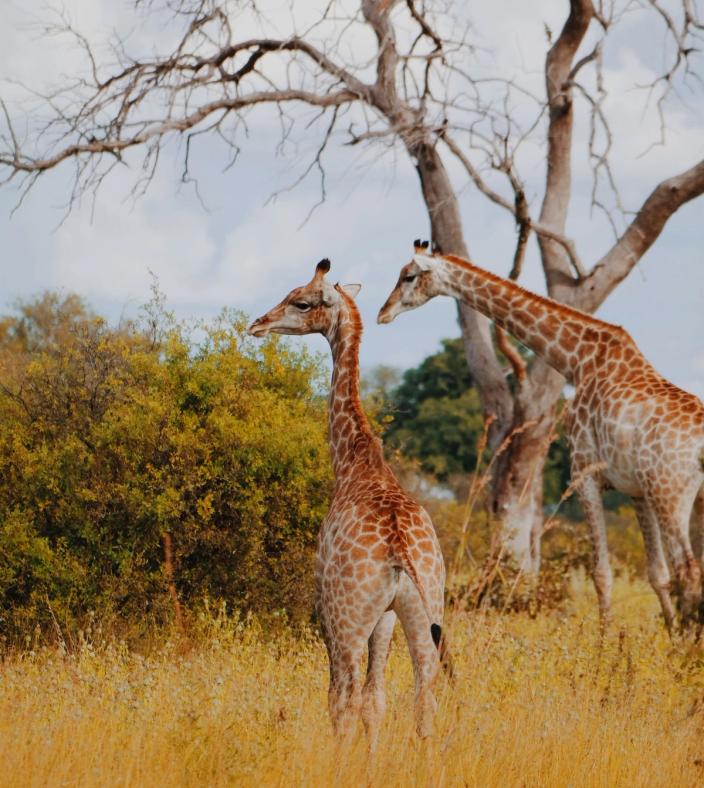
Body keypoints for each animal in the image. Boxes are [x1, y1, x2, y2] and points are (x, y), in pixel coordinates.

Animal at [248, 259, 450, 750]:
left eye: (301, 301)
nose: (257, 324)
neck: (354, 460)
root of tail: (401, 549)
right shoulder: (387, 617)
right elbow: (377, 702)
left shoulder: (327, 608)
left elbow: (344, 700)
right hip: (424, 614)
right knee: (423, 700)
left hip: (347, 618)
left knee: (344, 697)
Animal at [378, 241, 704, 630]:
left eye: (409, 276)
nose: (382, 313)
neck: (577, 360)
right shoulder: (635, 490)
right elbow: (657, 573)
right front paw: (666, 632)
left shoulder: (584, 473)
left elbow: (602, 573)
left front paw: (607, 640)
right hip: (680, 496)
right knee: (686, 572)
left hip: (670, 494)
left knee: (690, 570)